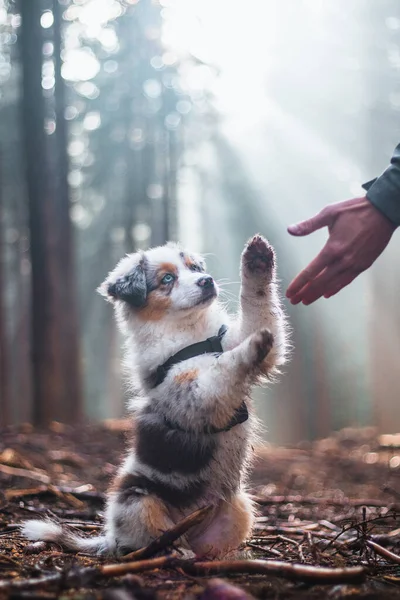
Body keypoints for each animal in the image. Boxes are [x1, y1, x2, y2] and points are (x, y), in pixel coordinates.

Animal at [21, 234, 290, 556]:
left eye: (195, 267)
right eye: (167, 279)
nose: (207, 281)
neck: (190, 332)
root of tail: (109, 537)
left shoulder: (239, 342)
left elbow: (259, 311)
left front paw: (258, 260)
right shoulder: (194, 394)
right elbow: (222, 366)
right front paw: (251, 345)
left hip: (239, 507)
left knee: (206, 547)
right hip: (138, 499)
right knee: (146, 540)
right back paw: (171, 551)